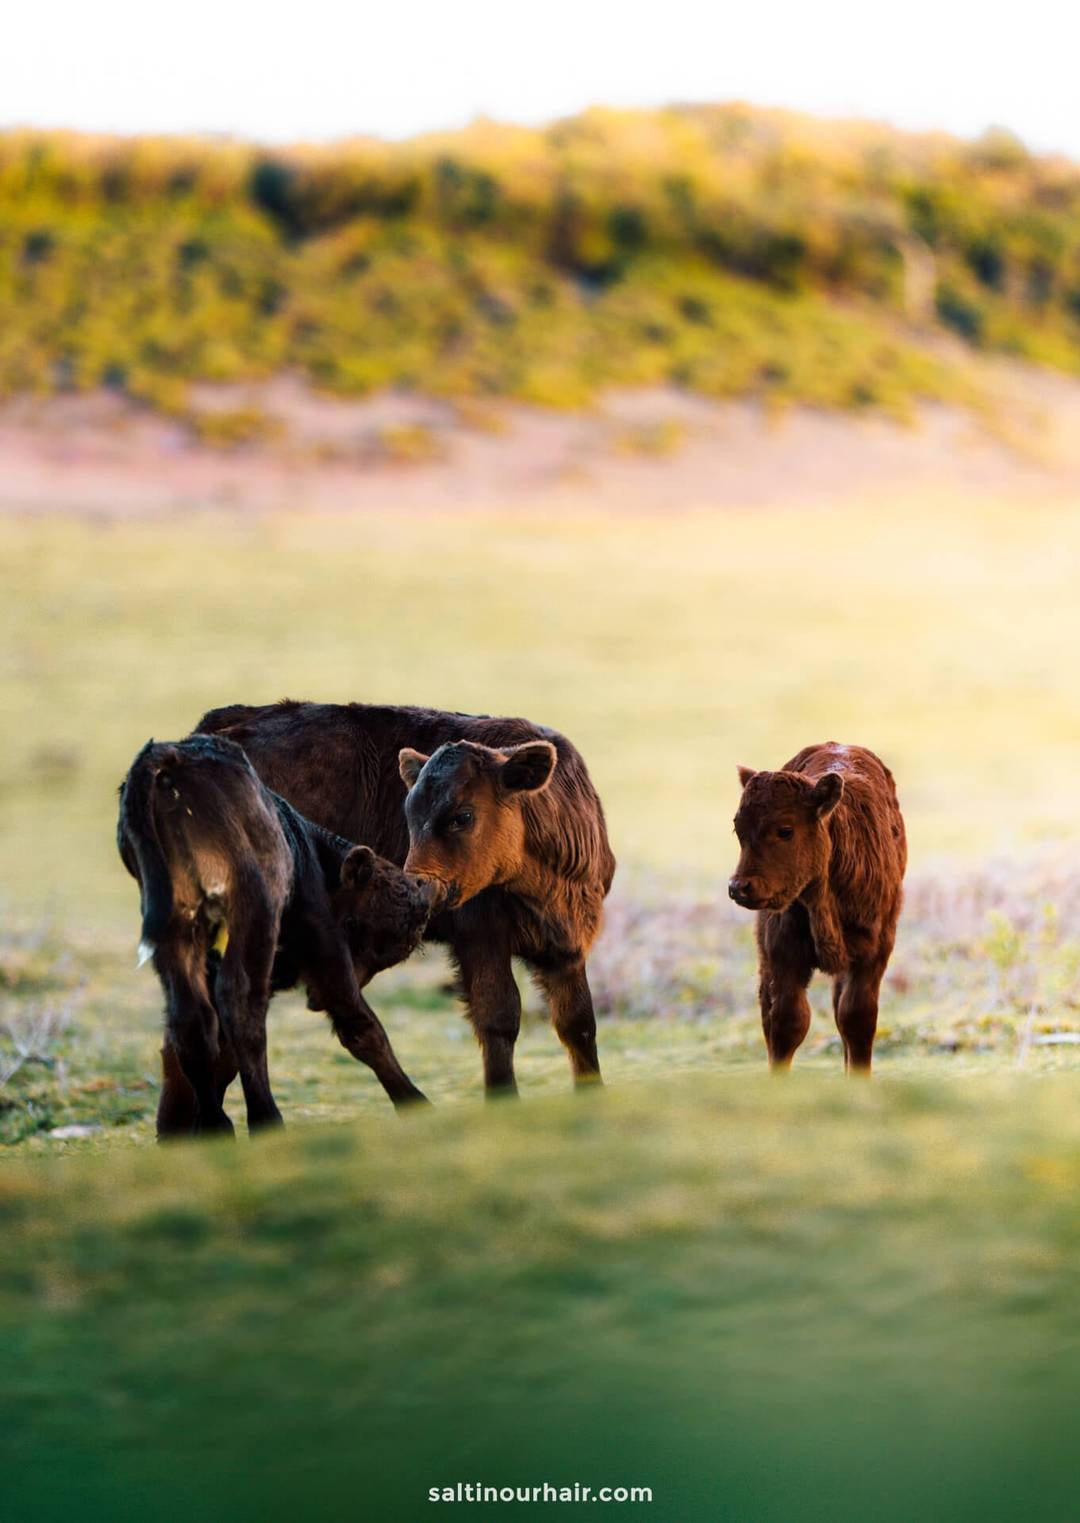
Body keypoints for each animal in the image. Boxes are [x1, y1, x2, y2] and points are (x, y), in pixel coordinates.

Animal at [117, 734, 440, 1136]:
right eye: (352, 925)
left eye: (387, 957)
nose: (313, 1000)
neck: (310, 851)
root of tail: (173, 756)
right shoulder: (322, 940)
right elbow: (359, 1023)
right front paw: (416, 1102)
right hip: (254, 907)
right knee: (240, 1004)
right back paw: (264, 1119)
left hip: (175, 921)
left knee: (192, 1018)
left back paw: (214, 1124)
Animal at [191, 701, 616, 1096]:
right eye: (409, 815)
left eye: (463, 815)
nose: (418, 884)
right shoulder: (480, 939)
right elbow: (499, 1019)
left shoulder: (567, 946)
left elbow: (578, 1023)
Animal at [728, 742, 906, 1073]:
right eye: (738, 829)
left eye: (785, 830)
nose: (739, 887)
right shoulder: (782, 952)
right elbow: (787, 1021)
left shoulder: (874, 951)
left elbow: (857, 1018)